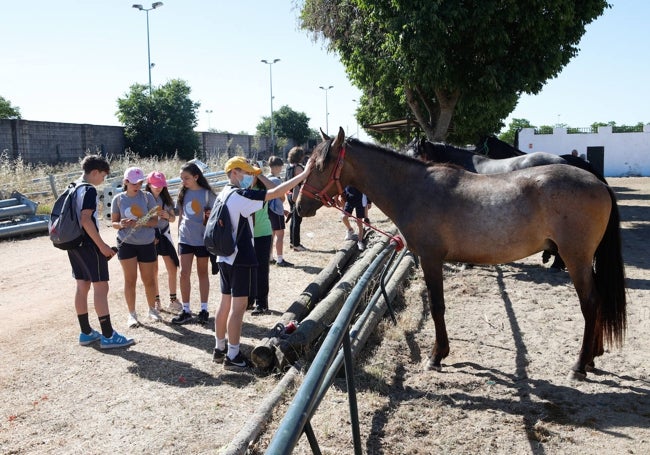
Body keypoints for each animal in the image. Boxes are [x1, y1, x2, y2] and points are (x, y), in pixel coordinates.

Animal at [298, 126, 624, 380]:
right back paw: (593, 357)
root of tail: (598, 182)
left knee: (590, 303)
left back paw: (579, 365)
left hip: (576, 258)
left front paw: (436, 355)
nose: (300, 205)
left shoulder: (431, 259)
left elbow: (437, 307)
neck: (415, 189)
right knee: (598, 300)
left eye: (319, 166)